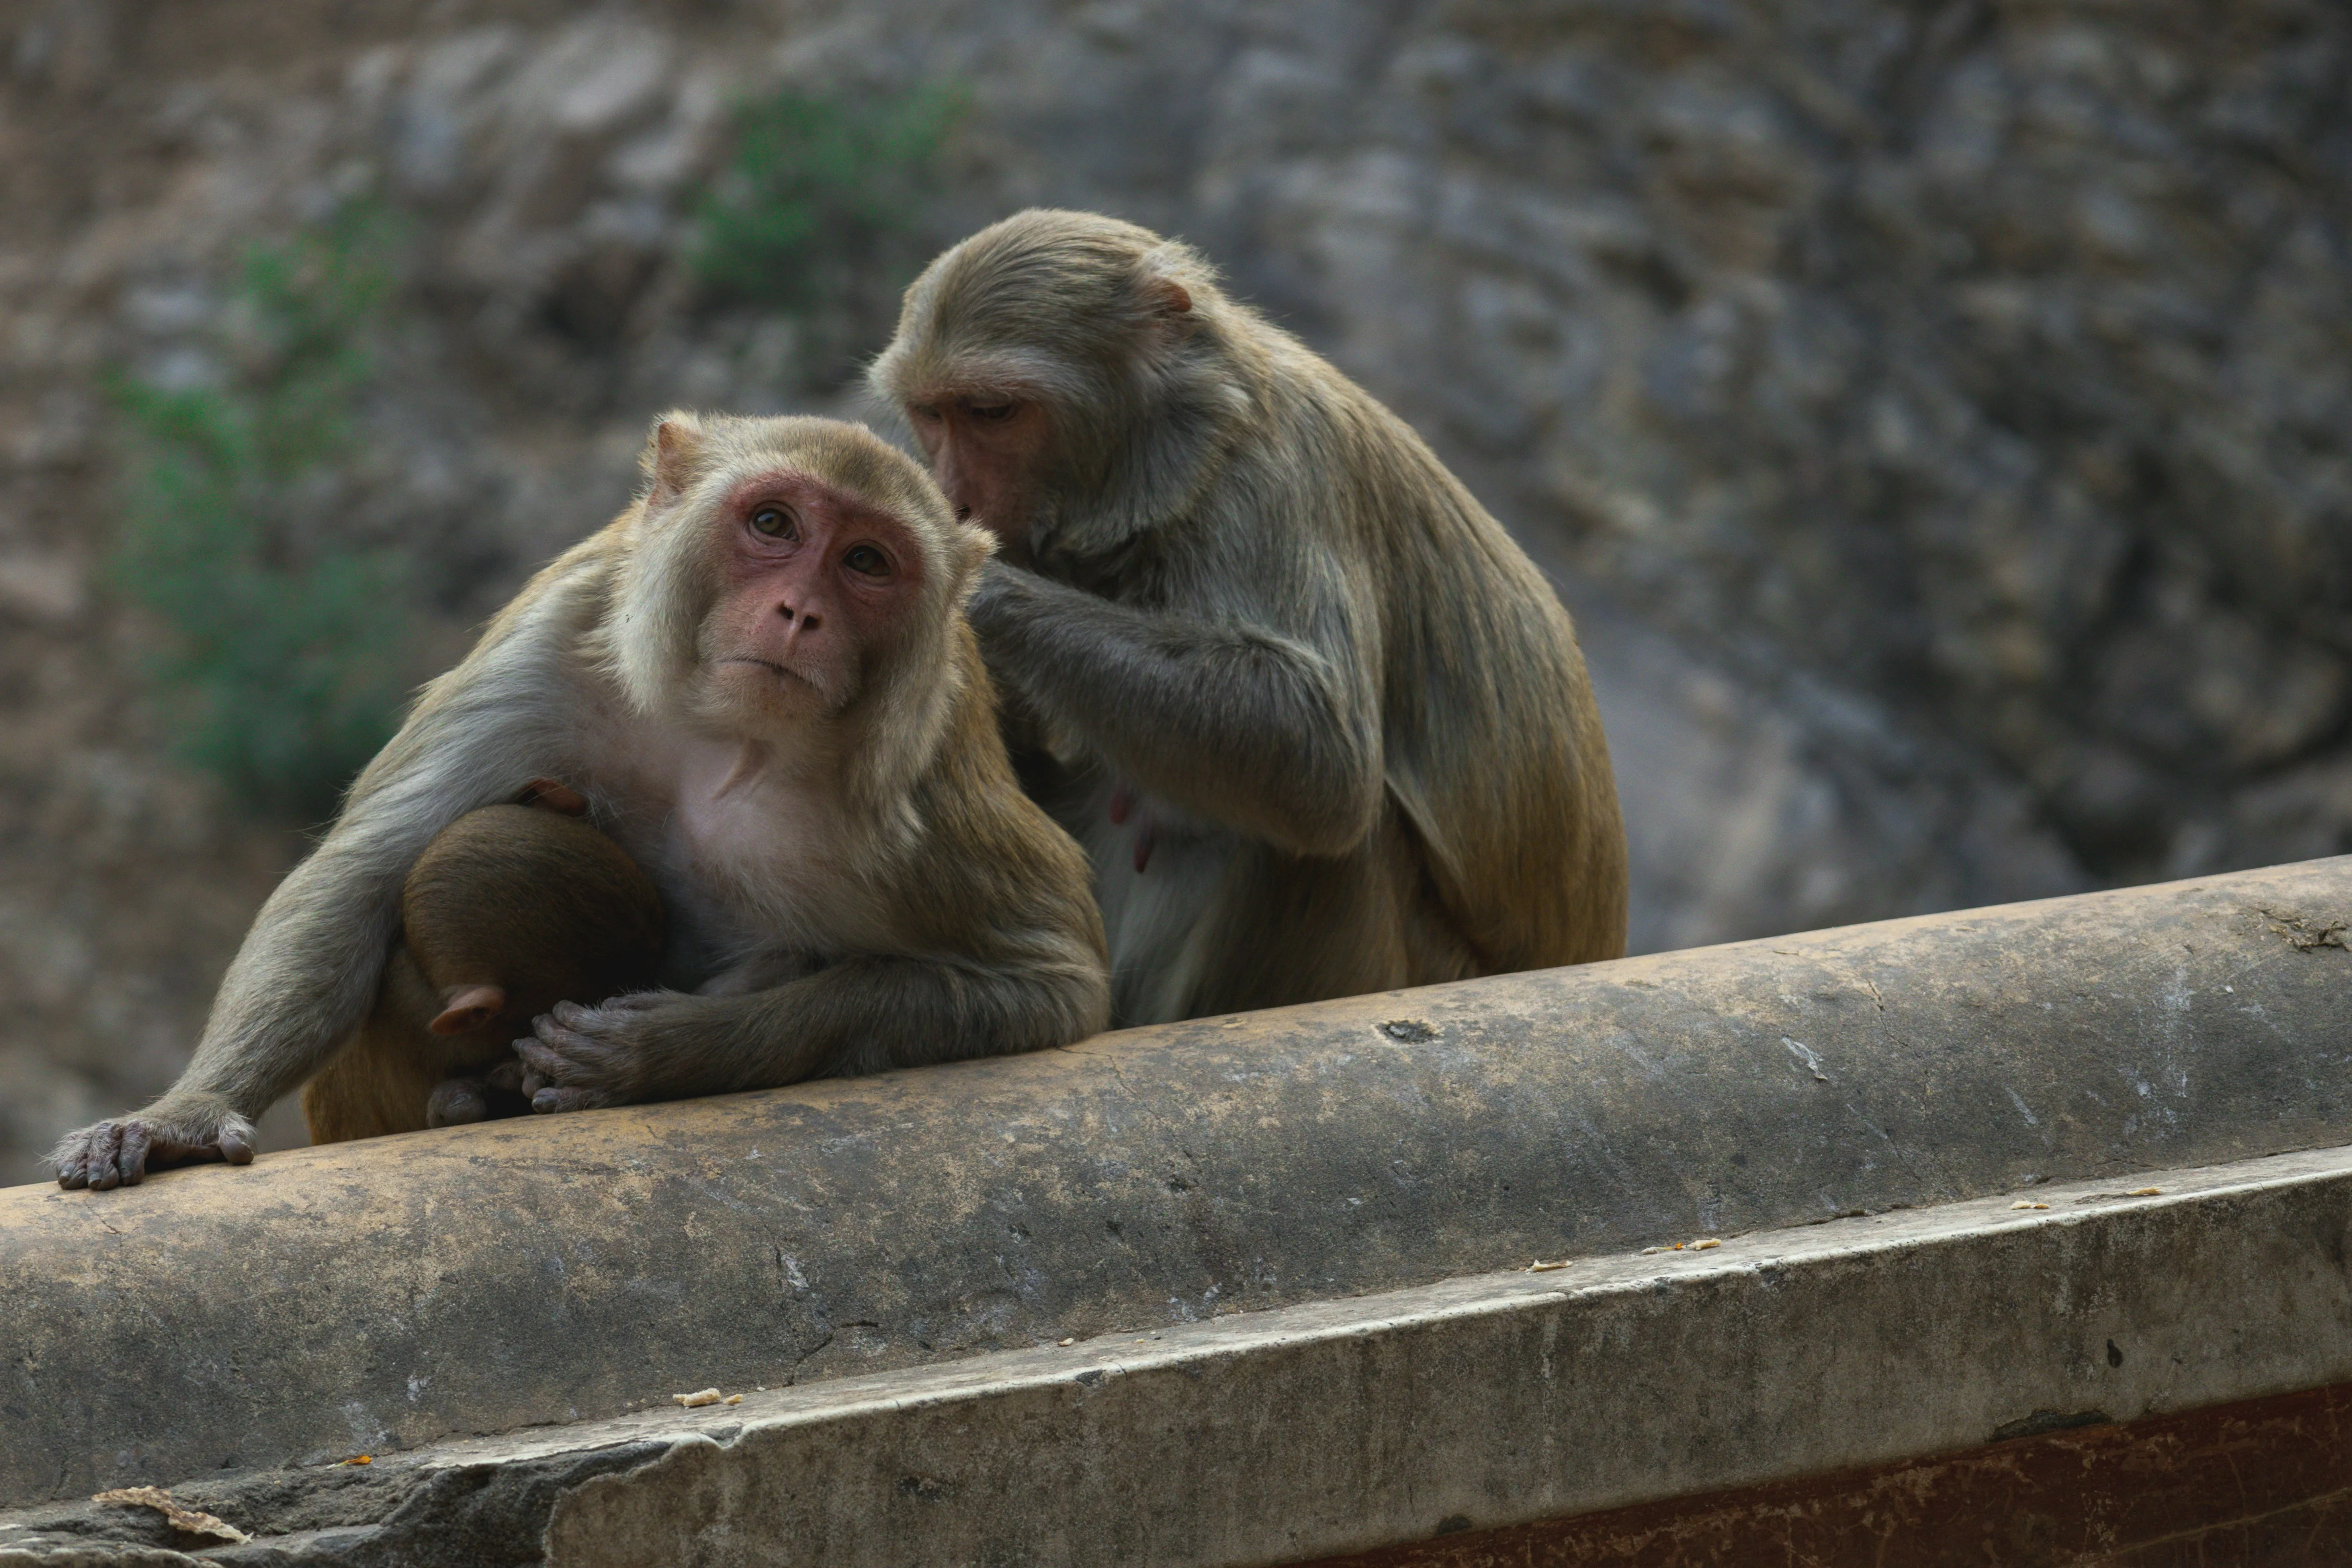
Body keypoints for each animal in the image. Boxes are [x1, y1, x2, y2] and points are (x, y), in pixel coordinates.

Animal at [875, 208, 1627, 1025]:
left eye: (992, 413)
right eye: (930, 415)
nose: (955, 497)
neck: (1179, 453)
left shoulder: (1281, 471)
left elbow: (1315, 744)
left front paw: (966, 581)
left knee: (1322, 828)